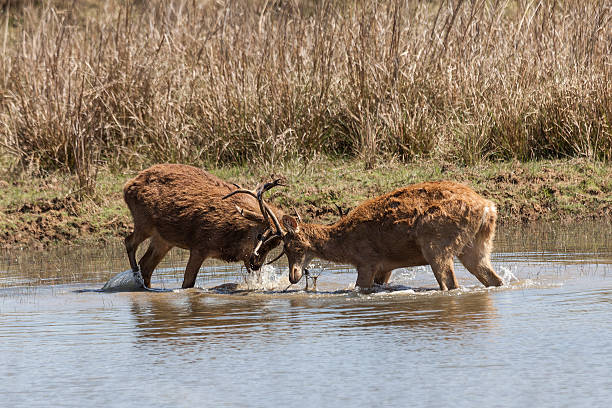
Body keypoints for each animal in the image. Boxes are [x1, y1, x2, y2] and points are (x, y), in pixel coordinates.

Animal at [126, 164, 286, 288]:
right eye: (260, 236)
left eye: (274, 246)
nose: (256, 265)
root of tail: (126, 186)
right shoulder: (199, 246)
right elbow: (188, 283)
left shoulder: (244, 256)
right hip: (143, 222)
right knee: (129, 242)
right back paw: (136, 281)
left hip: (163, 239)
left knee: (146, 265)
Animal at [235, 181, 502, 290]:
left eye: (289, 246)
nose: (293, 276)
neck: (345, 245)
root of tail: (488, 207)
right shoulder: (385, 267)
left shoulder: (366, 261)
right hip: (477, 245)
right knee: (493, 279)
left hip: (436, 242)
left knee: (451, 283)